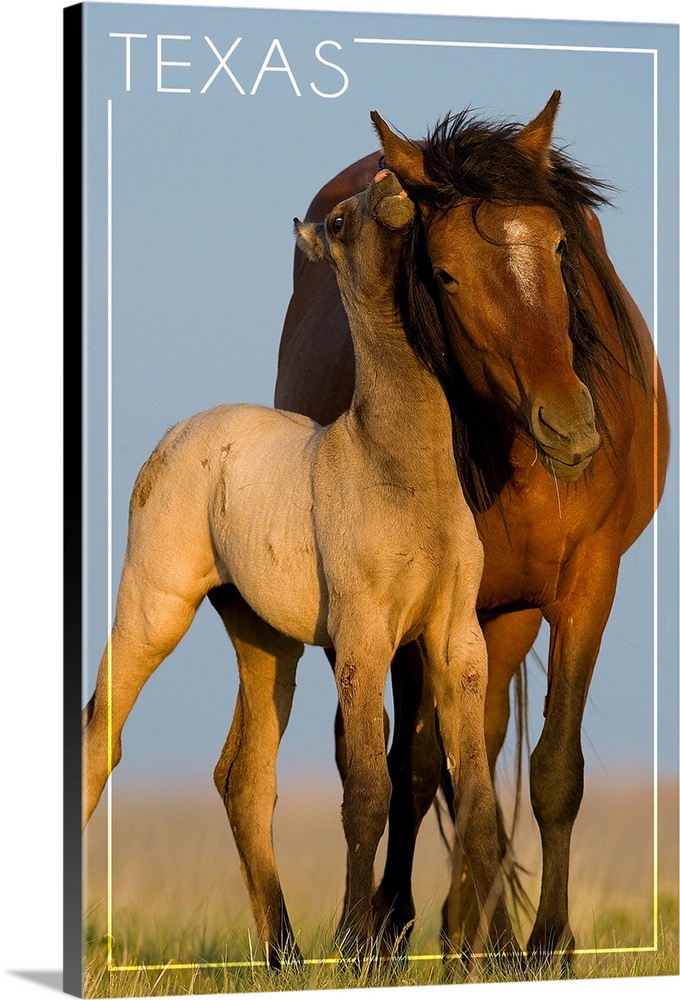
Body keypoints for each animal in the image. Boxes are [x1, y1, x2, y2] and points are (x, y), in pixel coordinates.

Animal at [274, 94, 668, 960]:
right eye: (446, 274)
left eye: (560, 246)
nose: (570, 427)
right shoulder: (413, 605)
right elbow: (414, 766)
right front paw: (398, 927)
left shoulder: (586, 585)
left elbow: (552, 768)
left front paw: (546, 945)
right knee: (417, 763)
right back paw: (404, 926)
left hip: (506, 615)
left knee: (475, 752)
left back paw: (472, 932)